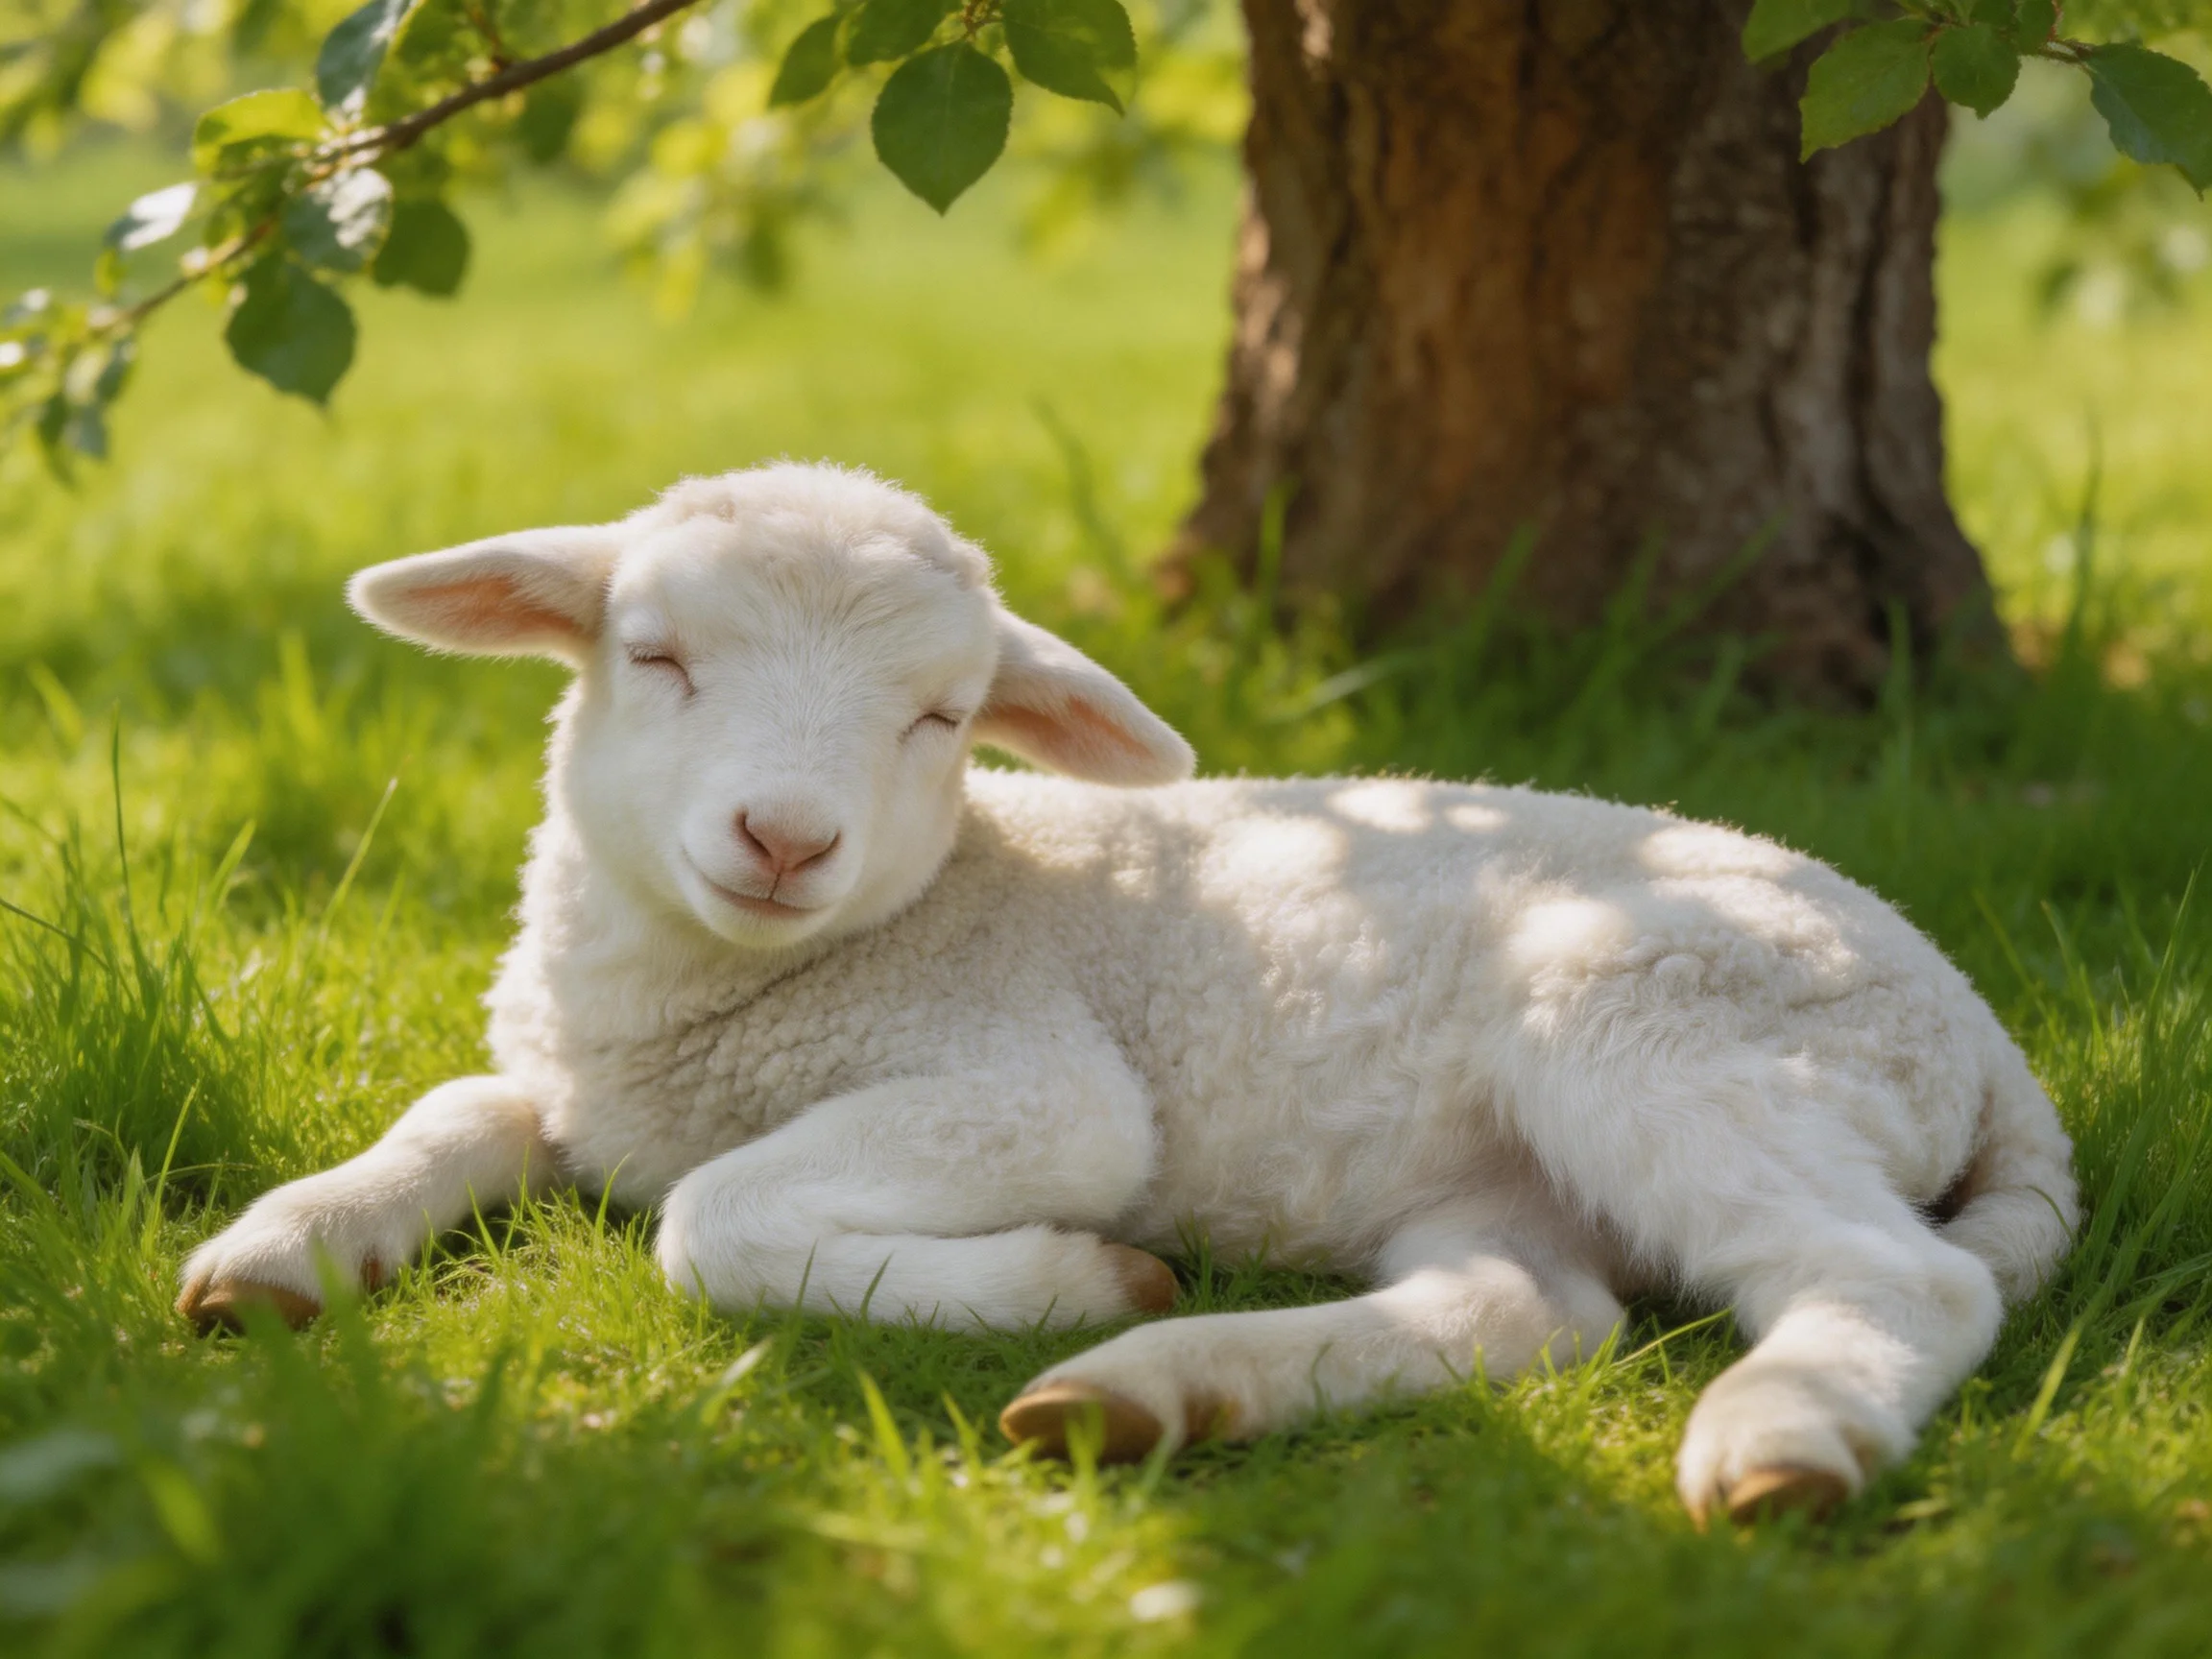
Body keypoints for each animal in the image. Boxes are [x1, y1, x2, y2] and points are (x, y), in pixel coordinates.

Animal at [176, 461, 2079, 1525]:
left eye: (942, 717)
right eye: (652, 653)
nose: (784, 837)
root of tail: (1983, 1037)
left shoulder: (1034, 1088)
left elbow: (710, 1220)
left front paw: (1062, 1271)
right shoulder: (573, 1078)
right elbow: (453, 1109)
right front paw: (282, 1245)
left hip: (1673, 1025)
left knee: (1890, 1276)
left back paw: (1778, 1441)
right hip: (1517, 1162)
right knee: (1523, 1312)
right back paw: (1163, 1388)